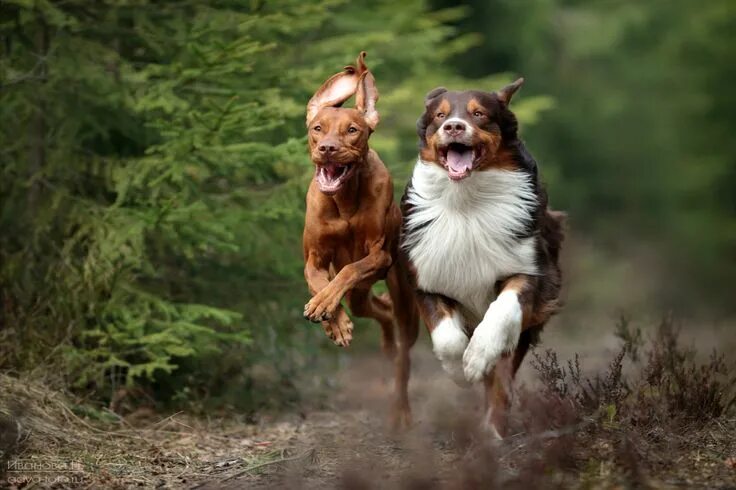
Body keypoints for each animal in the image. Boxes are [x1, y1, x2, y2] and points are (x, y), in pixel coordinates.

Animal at [402, 79, 564, 436]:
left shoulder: (530, 269)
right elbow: (447, 337)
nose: (454, 126)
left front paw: (477, 357)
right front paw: (460, 371)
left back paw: (492, 431)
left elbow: (502, 311)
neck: (467, 202)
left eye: (479, 114)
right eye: (440, 115)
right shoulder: (426, 277)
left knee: (502, 378)